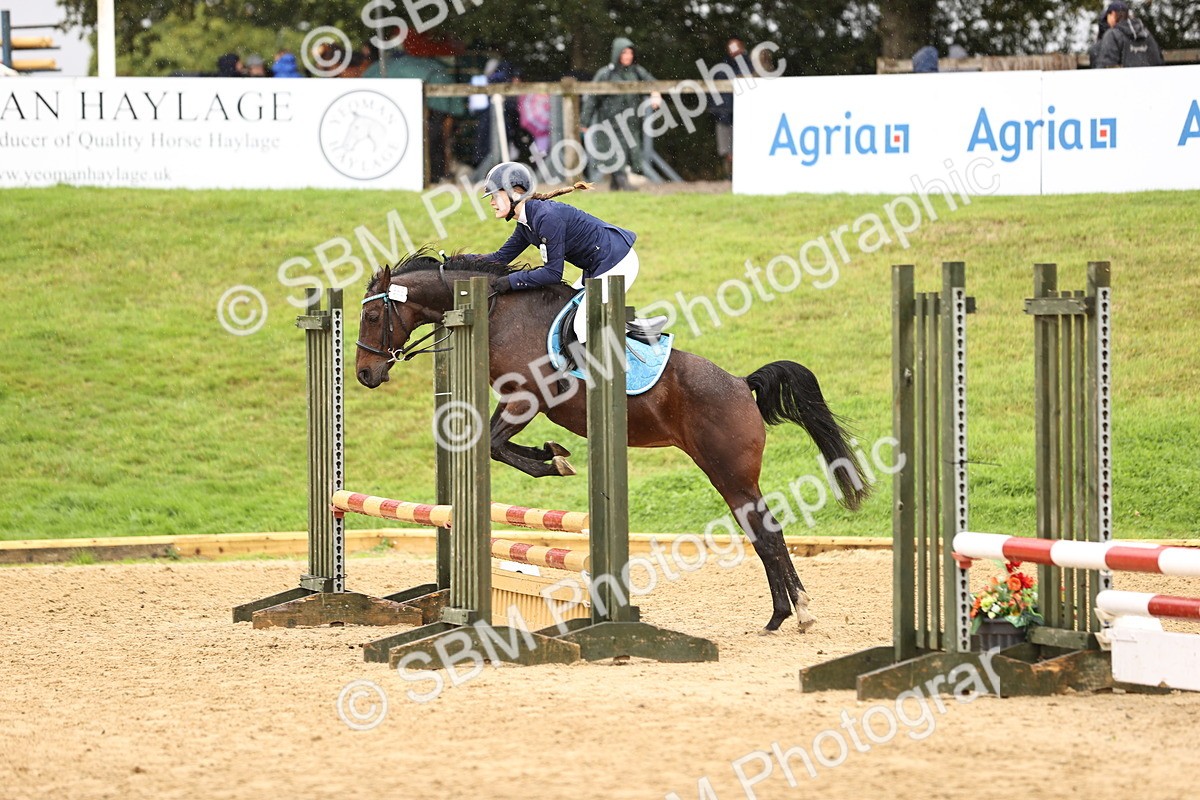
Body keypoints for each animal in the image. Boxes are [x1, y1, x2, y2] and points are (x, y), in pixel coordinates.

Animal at [354, 251, 871, 632]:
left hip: (730, 472)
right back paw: (781, 616)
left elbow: (500, 447)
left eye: (375, 314)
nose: (364, 374)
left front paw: (553, 459)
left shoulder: (526, 400)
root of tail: (742, 385)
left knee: (769, 532)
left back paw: (799, 613)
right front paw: (553, 455)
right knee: (762, 534)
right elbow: (496, 447)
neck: (499, 312)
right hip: (726, 474)